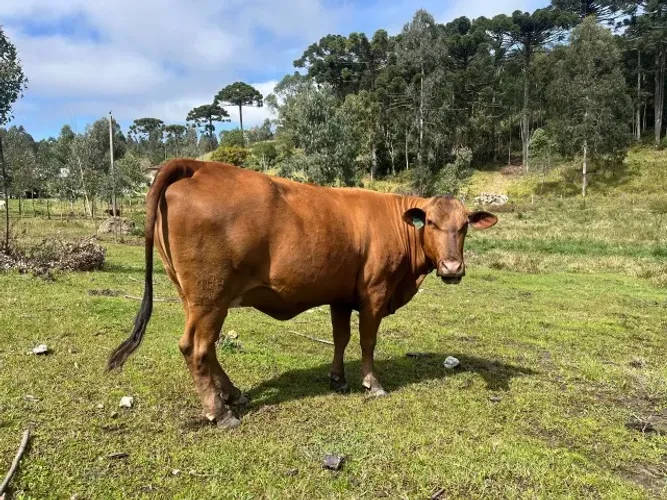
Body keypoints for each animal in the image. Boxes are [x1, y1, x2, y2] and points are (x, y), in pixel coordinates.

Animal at [106, 159, 497, 429]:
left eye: (464, 226)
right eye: (430, 223)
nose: (452, 268)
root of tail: (199, 166)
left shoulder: (340, 294)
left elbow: (341, 337)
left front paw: (338, 379)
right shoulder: (375, 292)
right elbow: (367, 341)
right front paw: (372, 383)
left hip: (196, 298)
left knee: (208, 348)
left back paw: (232, 394)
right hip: (210, 297)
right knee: (196, 348)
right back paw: (219, 412)